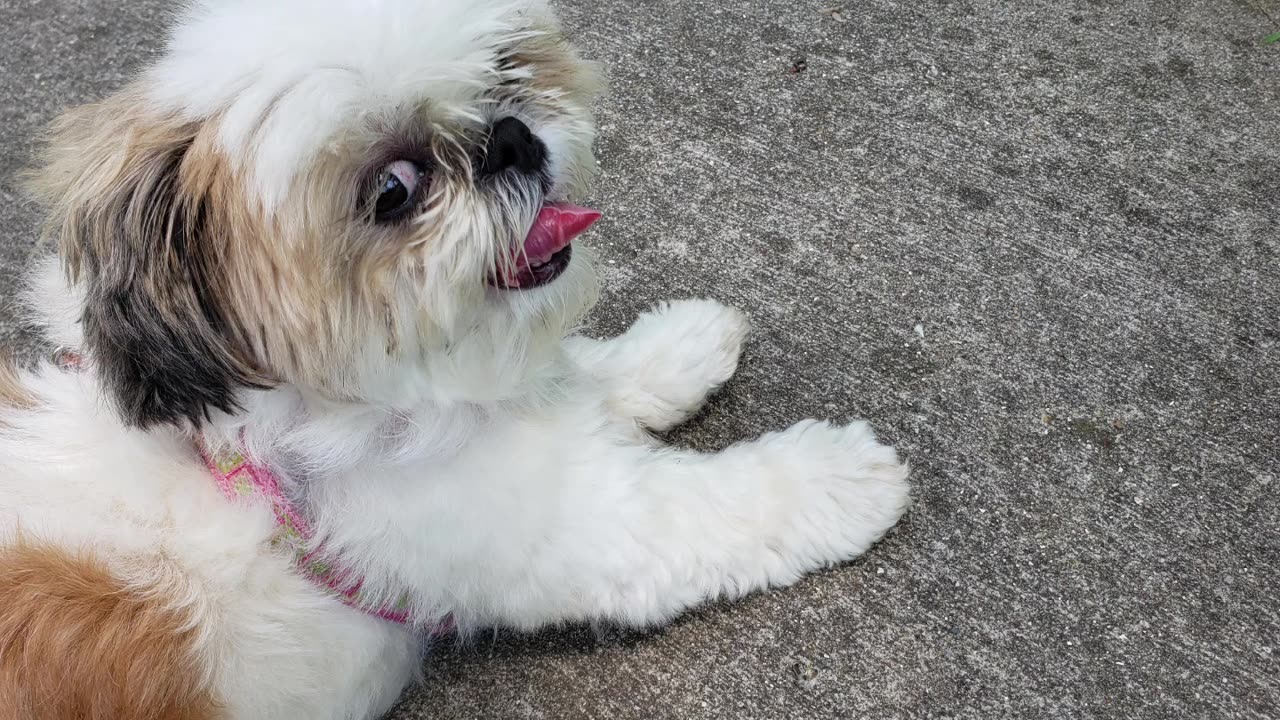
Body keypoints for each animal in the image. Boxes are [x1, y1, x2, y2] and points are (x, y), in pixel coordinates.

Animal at [0, 1, 911, 717]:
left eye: (504, 70)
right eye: (392, 190)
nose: (508, 140)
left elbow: (587, 373)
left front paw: (680, 345)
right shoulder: (565, 521)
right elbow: (714, 506)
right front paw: (841, 477)